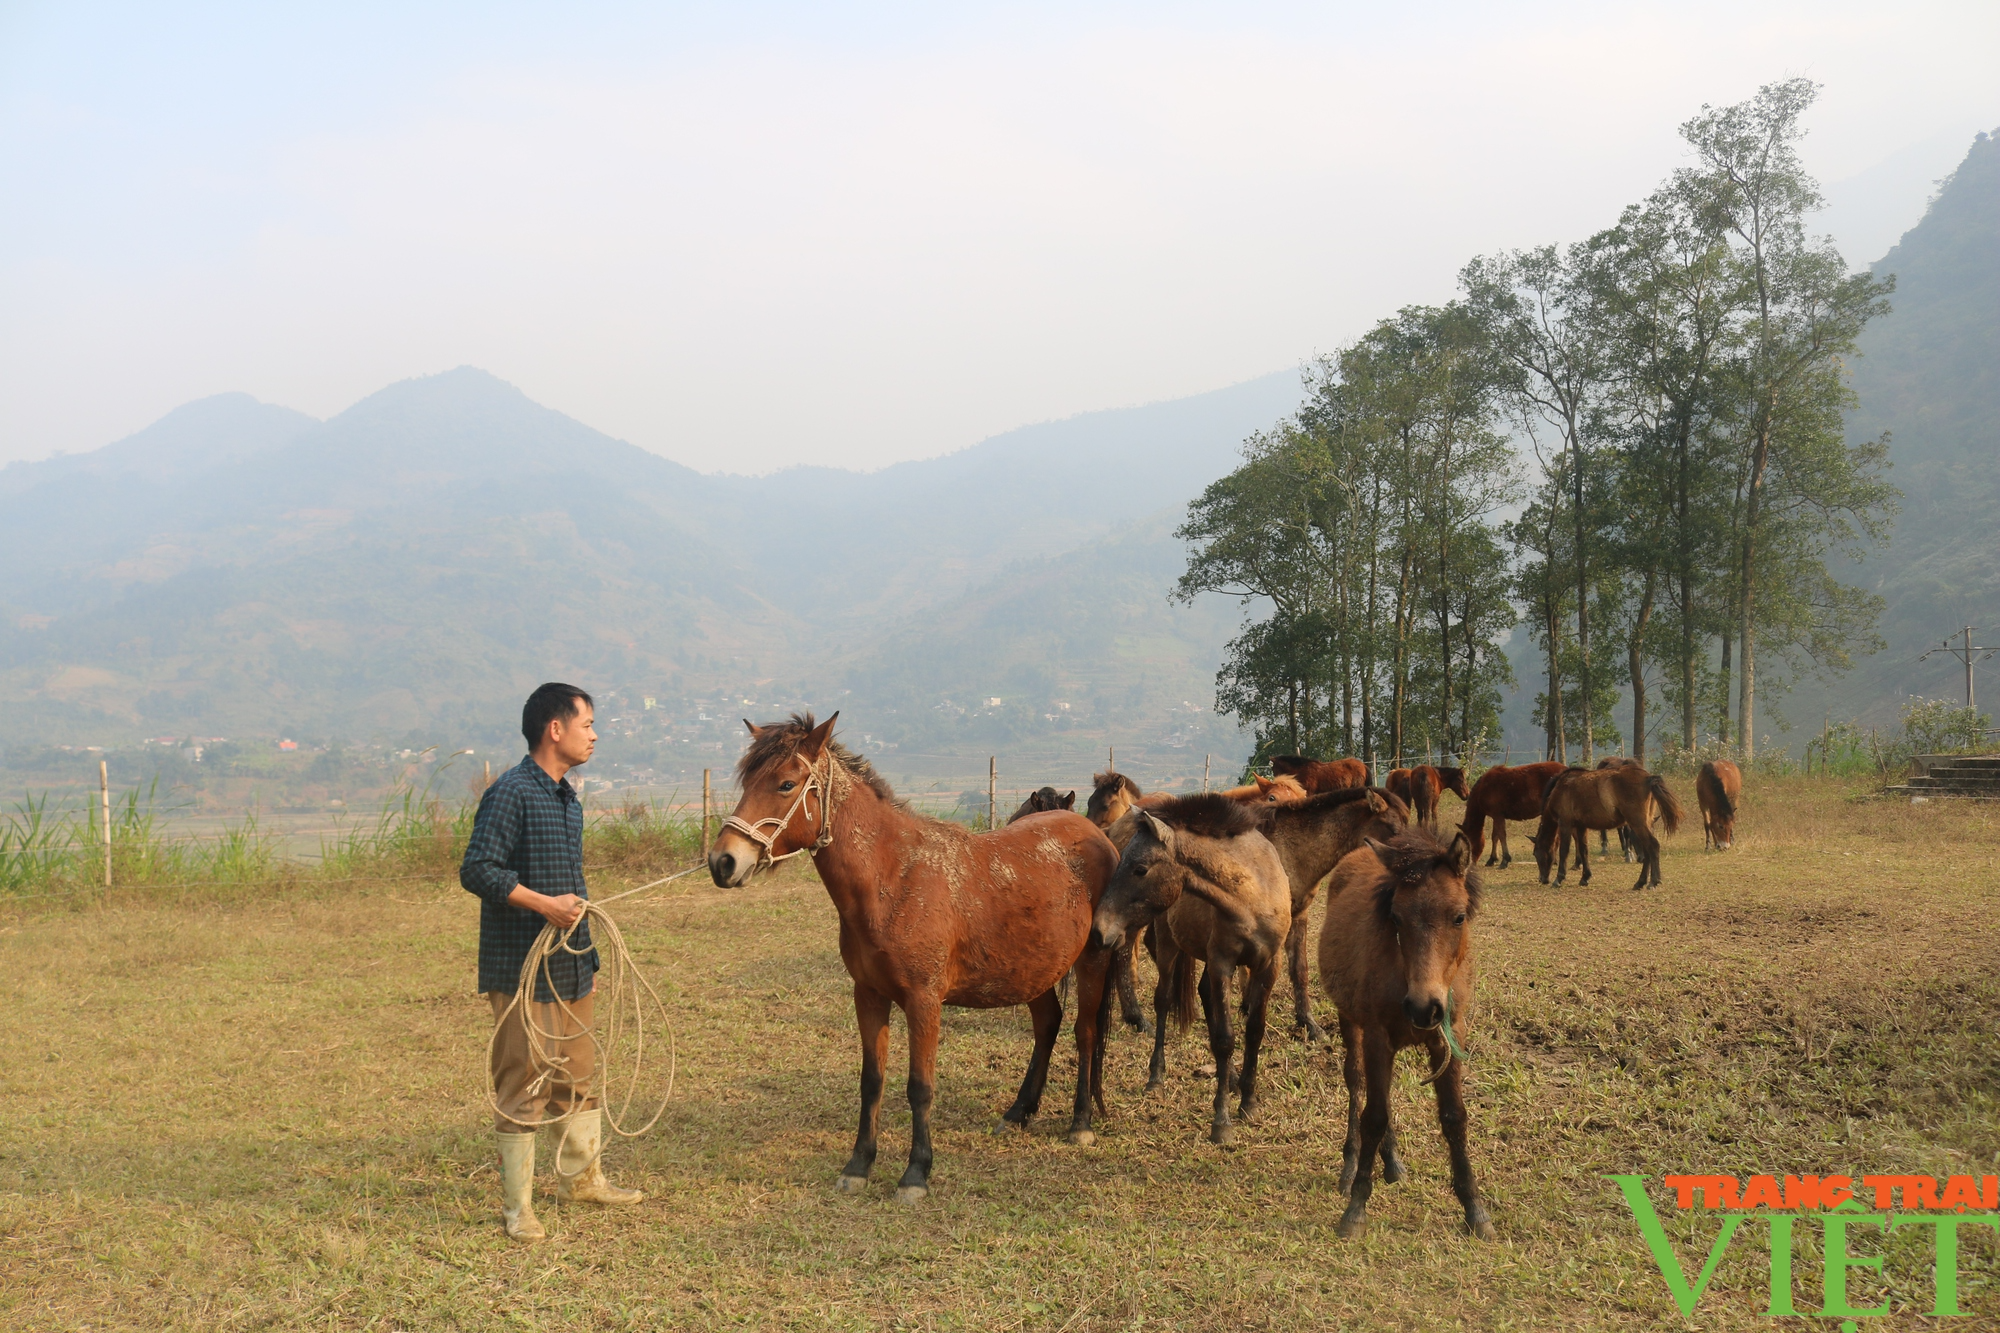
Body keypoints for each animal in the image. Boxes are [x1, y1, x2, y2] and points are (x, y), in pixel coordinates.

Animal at [708, 712, 1120, 1200]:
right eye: (747, 782)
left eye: (786, 784)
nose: (722, 862)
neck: (894, 877)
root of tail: (1096, 836)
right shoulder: (868, 996)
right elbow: (872, 1081)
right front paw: (858, 1165)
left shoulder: (924, 1002)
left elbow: (920, 1087)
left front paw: (916, 1173)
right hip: (1032, 969)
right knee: (1048, 1024)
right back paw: (1018, 1112)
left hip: (1091, 962)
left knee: (1085, 1032)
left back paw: (1080, 1123)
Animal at [1096, 788, 1296, 1144]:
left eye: (1140, 869)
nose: (1101, 929)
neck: (1252, 897)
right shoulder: (1222, 964)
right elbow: (1225, 1039)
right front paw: (1222, 1122)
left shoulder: (1268, 966)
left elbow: (1254, 1031)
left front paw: (1249, 1101)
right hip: (1168, 946)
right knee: (1163, 1001)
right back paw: (1156, 1078)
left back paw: (1232, 1079)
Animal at [1320, 824, 1496, 1240]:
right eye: (1396, 918)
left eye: (1459, 917)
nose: (1423, 1007)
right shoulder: (1377, 1036)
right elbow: (1374, 1116)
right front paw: (1356, 1208)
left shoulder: (1450, 1036)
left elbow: (1454, 1117)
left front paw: (1474, 1209)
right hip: (1350, 1020)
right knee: (1357, 1083)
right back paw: (1350, 1167)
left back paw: (1392, 1163)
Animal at [1536, 764, 1680, 888]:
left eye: (1537, 854)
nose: (1542, 879)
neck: (1561, 787)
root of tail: (1648, 778)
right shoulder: (1581, 826)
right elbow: (1583, 850)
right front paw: (1585, 877)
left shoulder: (1565, 824)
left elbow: (1564, 851)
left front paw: (1558, 878)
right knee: (1648, 849)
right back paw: (1641, 882)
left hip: (1637, 822)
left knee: (1652, 845)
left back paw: (1652, 882)